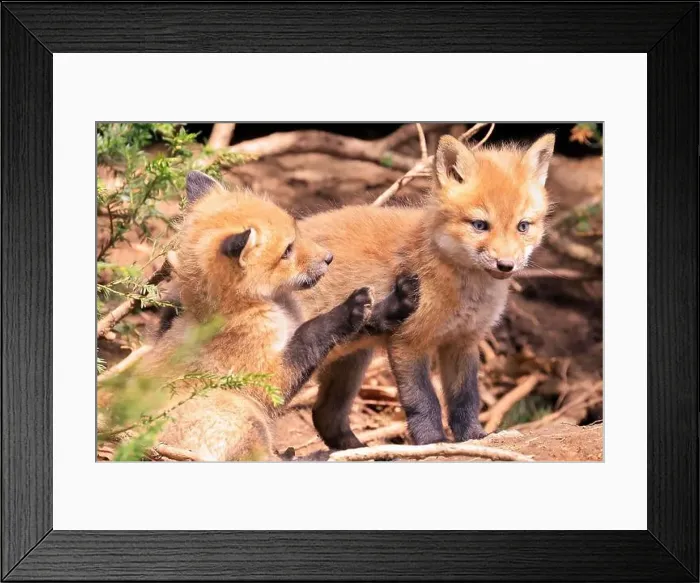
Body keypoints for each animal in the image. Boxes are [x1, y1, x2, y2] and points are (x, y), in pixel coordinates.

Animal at [134, 172, 418, 461]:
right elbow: (312, 332)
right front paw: (349, 308)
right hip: (243, 412)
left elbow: (348, 332)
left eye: (296, 235)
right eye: (287, 251)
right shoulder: (265, 376)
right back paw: (315, 457)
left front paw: (392, 306)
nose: (329, 258)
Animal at [296, 133, 556, 449]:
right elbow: (424, 401)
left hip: (353, 358)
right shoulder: (408, 342)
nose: (505, 265)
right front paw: (432, 441)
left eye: (523, 226)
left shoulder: (463, 342)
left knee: (325, 415)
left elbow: (465, 398)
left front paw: (473, 437)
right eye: (480, 225)